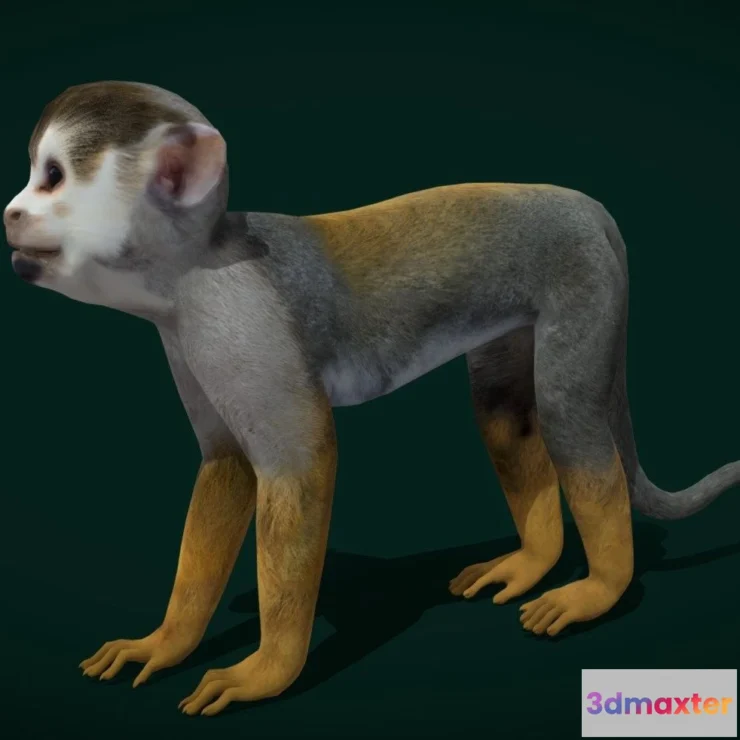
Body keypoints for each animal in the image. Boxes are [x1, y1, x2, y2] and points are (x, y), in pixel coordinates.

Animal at [4, 81, 738, 717]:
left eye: (53, 177)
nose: (11, 212)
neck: (189, 272)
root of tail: (588, 205)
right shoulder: (185, 336)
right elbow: (227, 467)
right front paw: (167, 641)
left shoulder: (237, 317)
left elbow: (301, 466)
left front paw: (267, 670)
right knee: (506, 415)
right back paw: (535, 561)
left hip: (582, 275)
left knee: (565, 412)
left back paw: (601, 588)